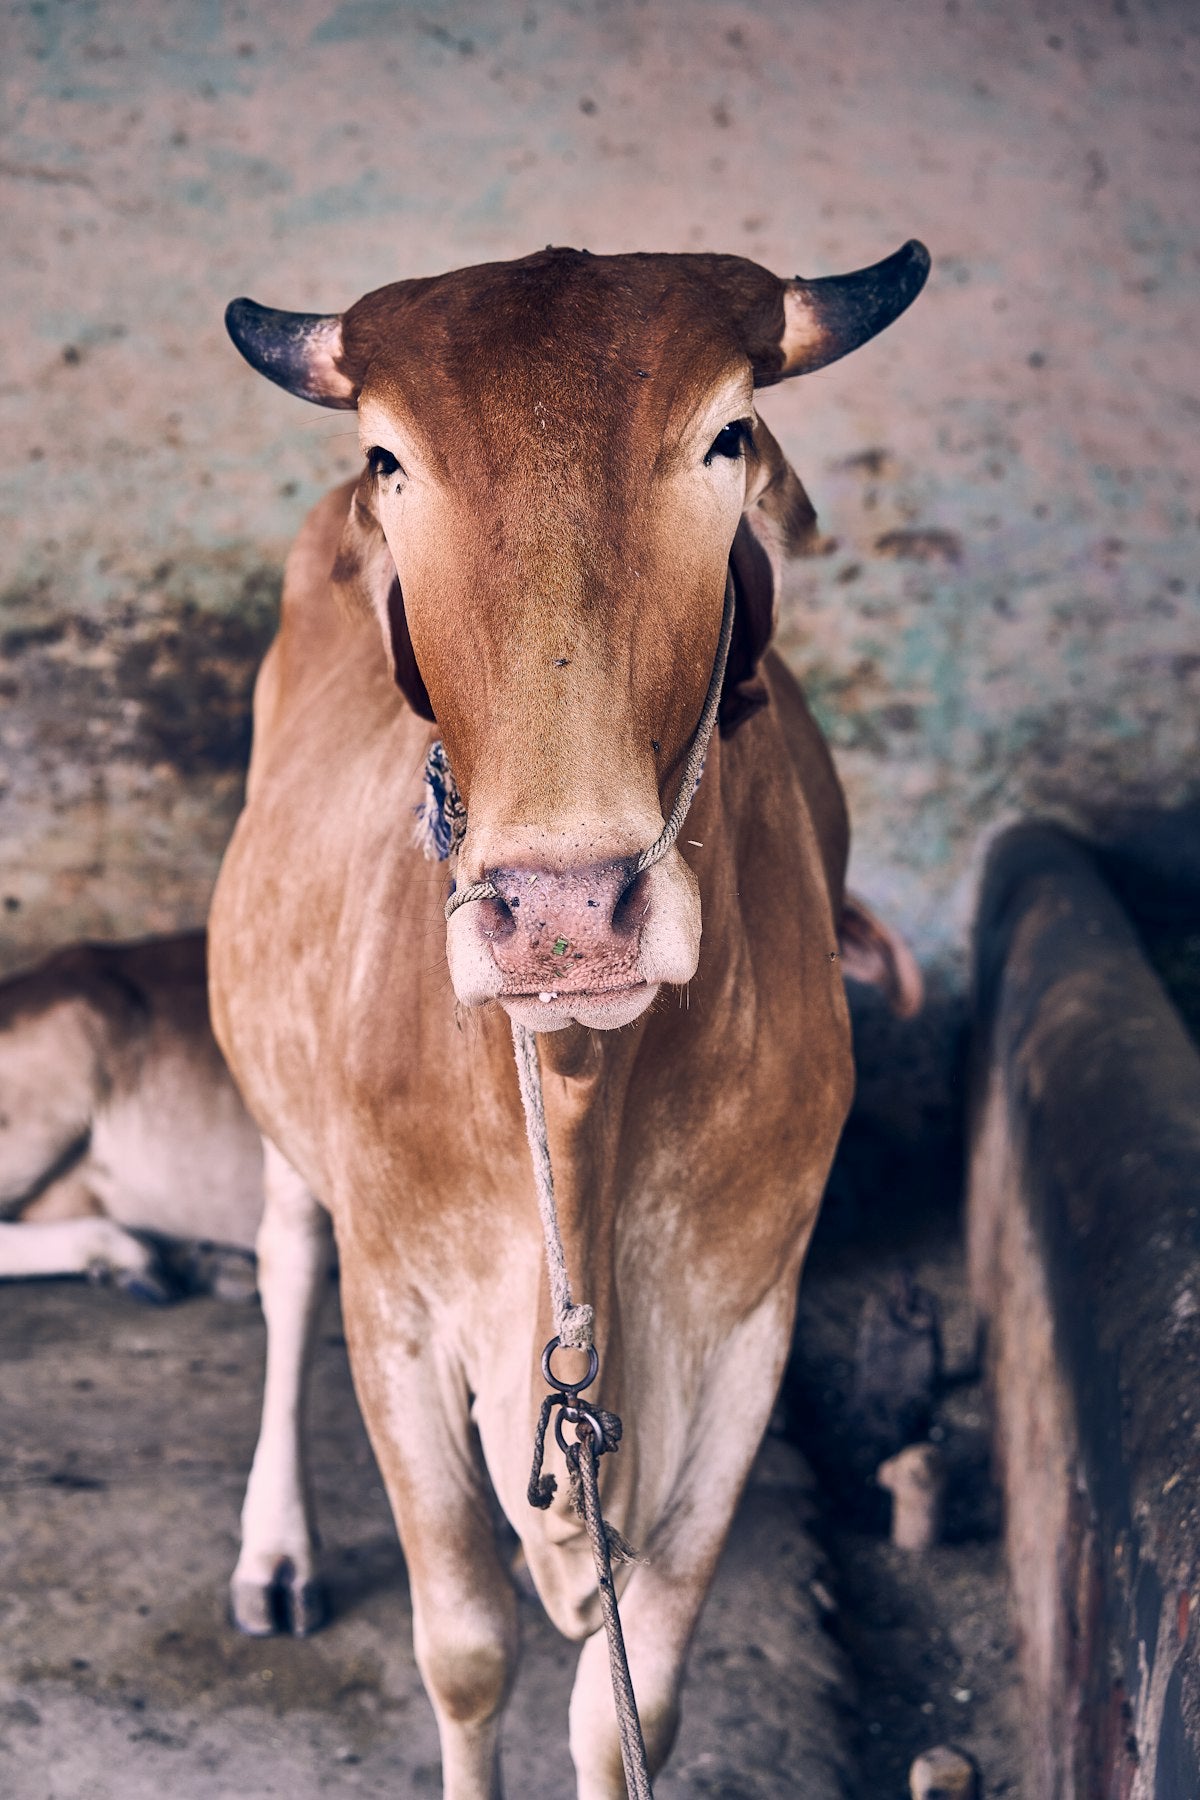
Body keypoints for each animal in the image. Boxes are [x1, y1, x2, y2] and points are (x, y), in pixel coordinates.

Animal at [210, 241, 929, 1797]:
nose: (562, 907)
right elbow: (466, 1651)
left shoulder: (747, 1328)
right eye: (391, 459)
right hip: (286, 1117)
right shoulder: (400, 1312)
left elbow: (628, 1707)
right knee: (286, 1262)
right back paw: (274, 1550)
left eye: (727, 437)